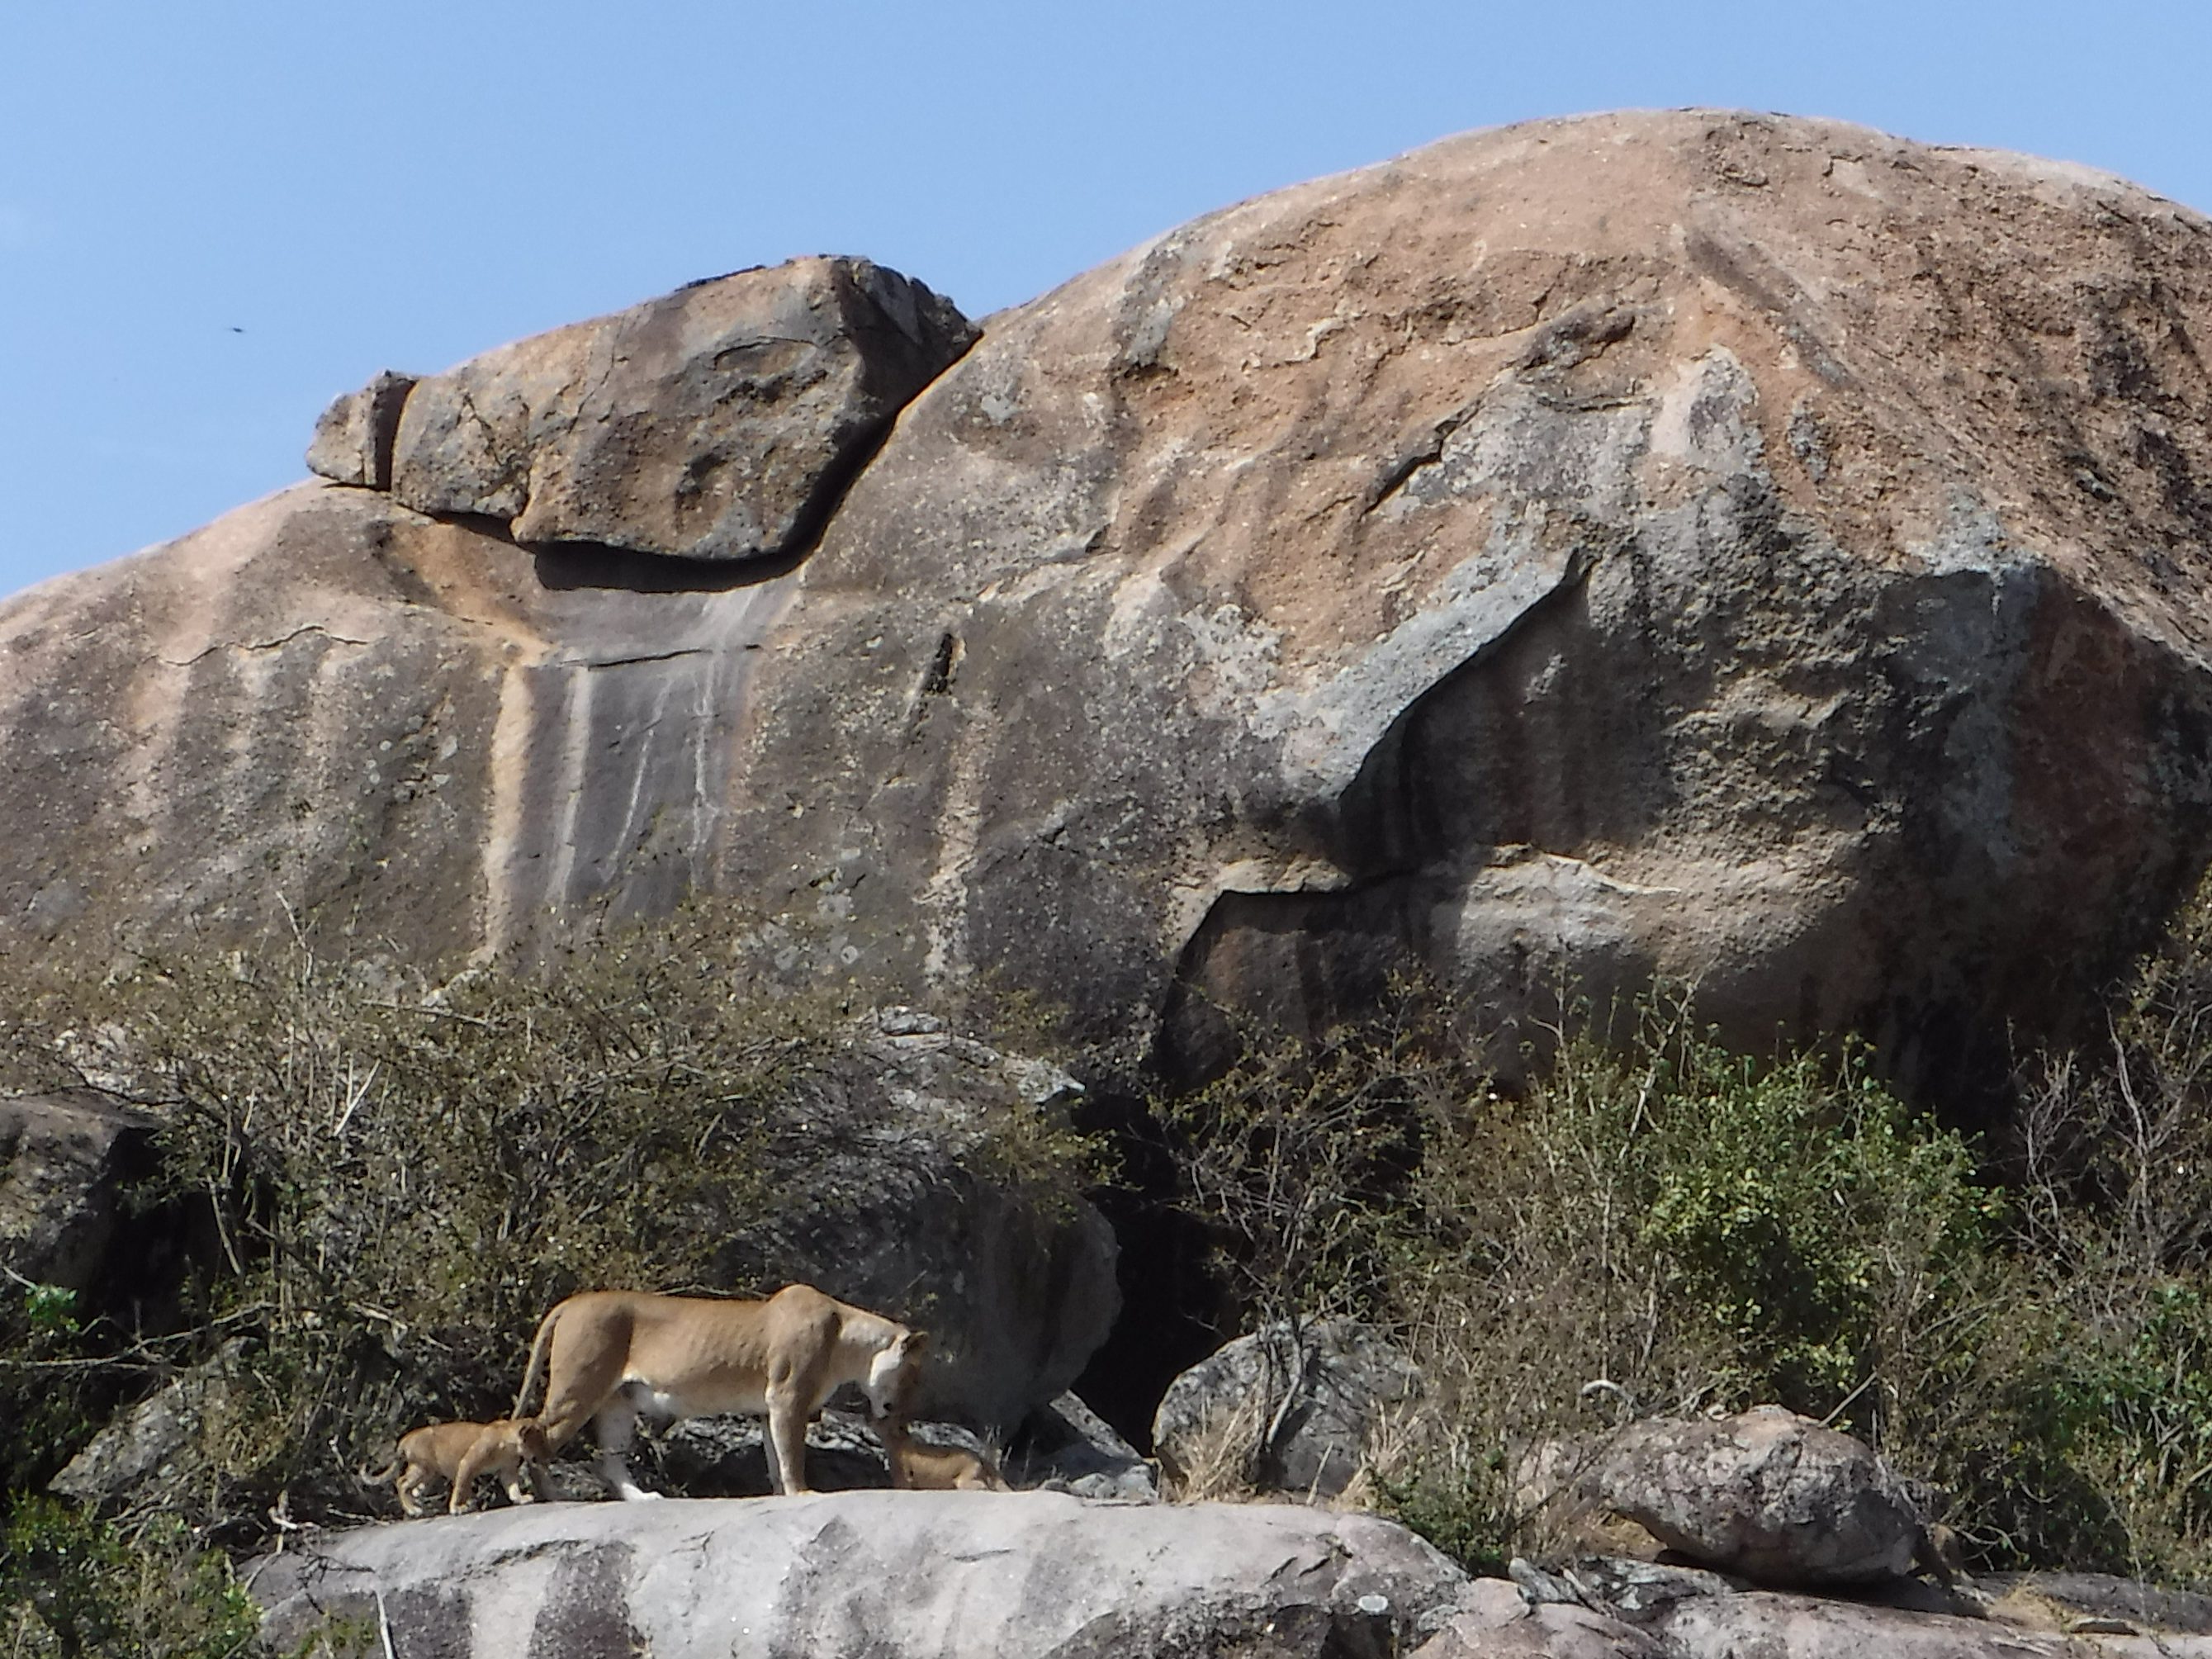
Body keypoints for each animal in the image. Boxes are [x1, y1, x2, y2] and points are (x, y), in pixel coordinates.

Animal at [359, 1417, 551, 1517]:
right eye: (540, 1442)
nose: (548, 1456)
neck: (510, 1445)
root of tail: (404, 1439)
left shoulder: (507, 1470)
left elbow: (512, 1487)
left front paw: (521, 1499)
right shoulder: (467, 1463)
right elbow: (461, 1488)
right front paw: (457, 1508)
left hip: (430, 1473)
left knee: (413, 1489)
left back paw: (419, 1507)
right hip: (422, 1467)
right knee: (402, 1482)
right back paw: (413, 1510)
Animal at [513, 1282, 927, 1500]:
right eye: (911, 1378)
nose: (902, 1420)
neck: (848, 1340)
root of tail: (571, 1302)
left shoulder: (768, 1407)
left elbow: (775, 1457)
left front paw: (782, 1495)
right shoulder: (788, 1397)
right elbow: (792, 1453)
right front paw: (803, 1494)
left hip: (618, 1401)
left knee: (608, 1459)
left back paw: (644, 1498)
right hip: (582, 1383)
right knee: (531, 1433)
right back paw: (557, 1497)